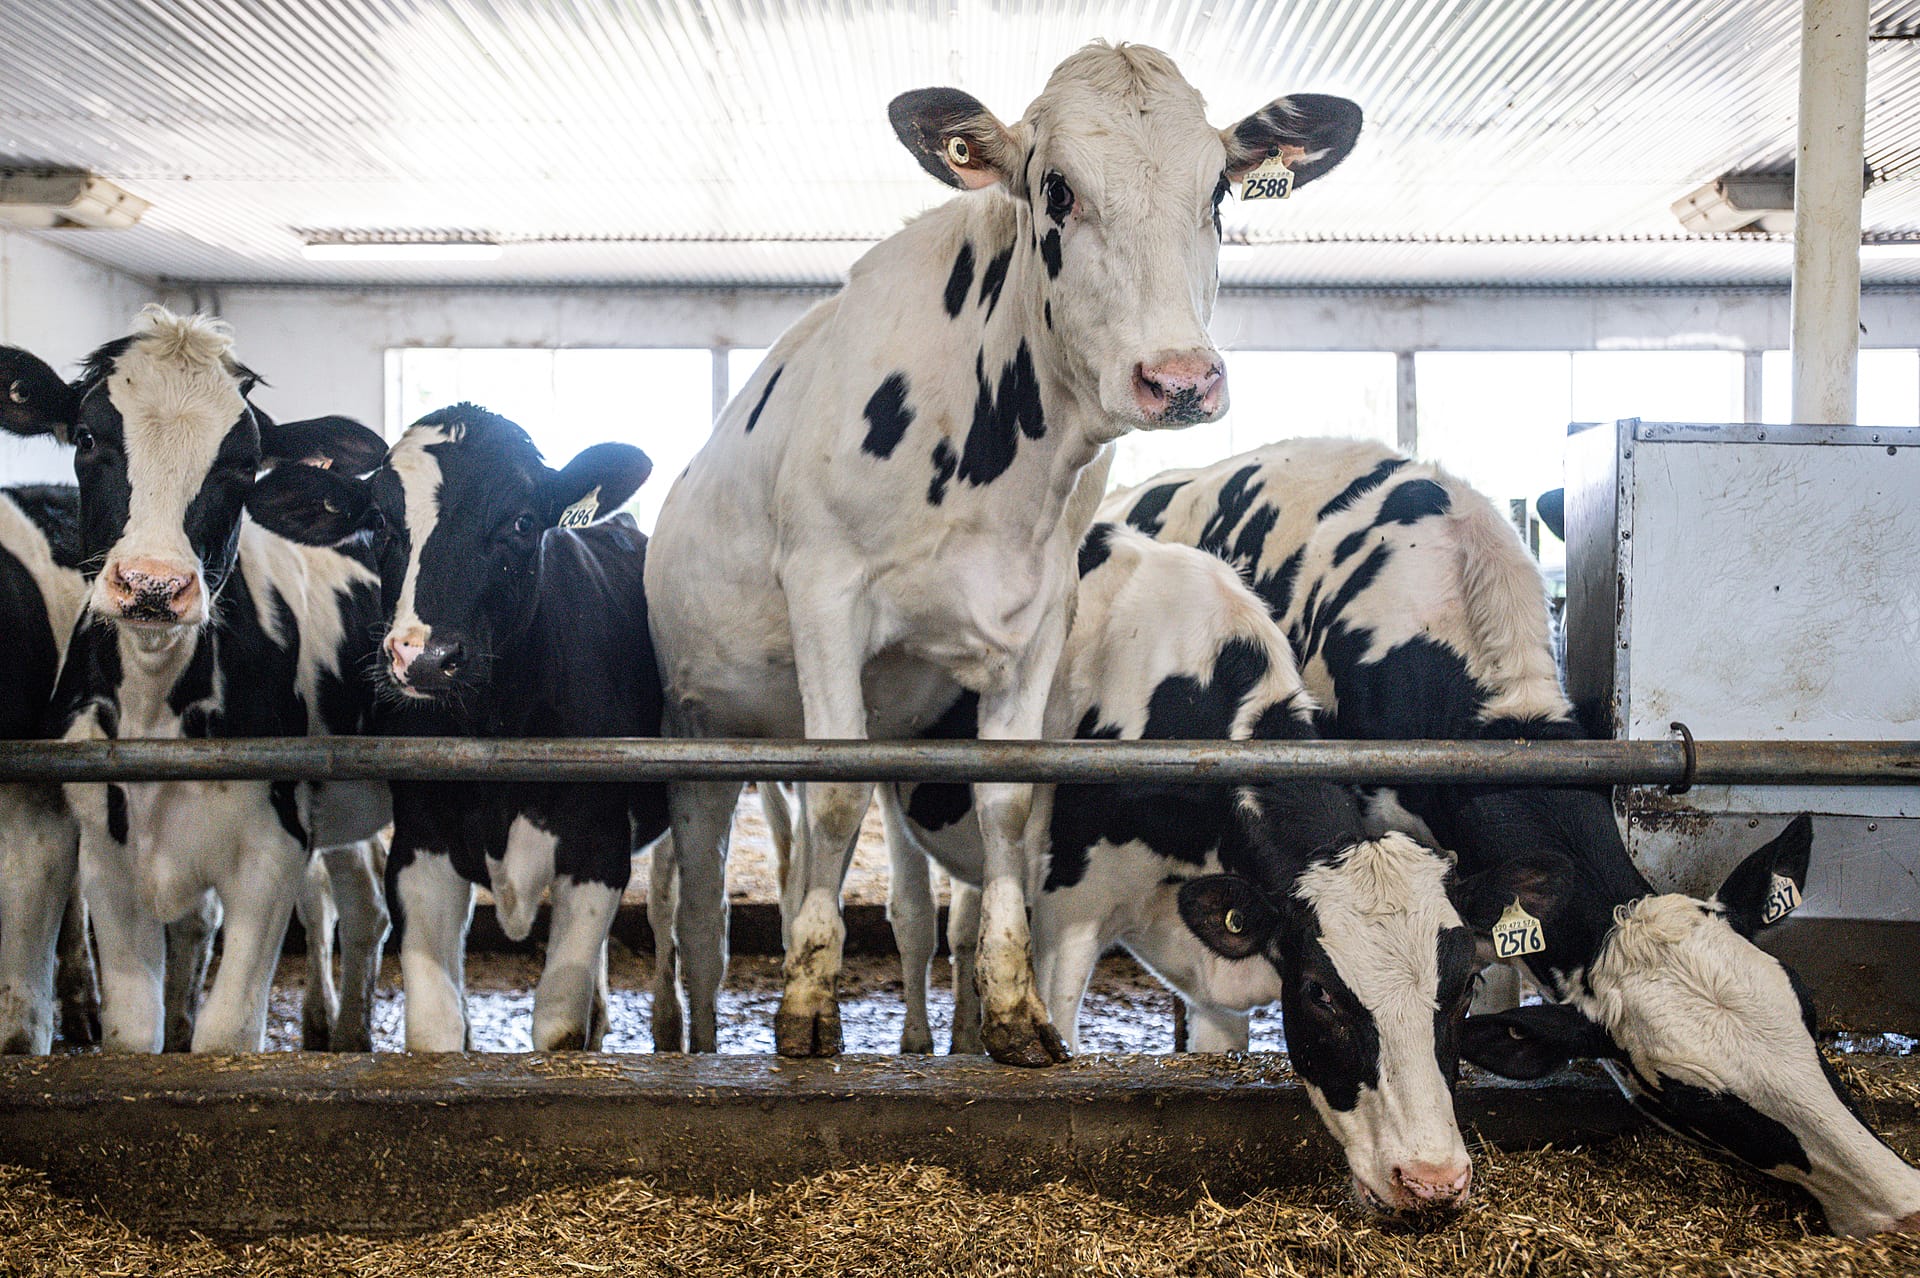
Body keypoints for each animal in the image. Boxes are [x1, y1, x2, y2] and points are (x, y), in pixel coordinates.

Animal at [0, 307, 391, 1043]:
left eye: (241, 463)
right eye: (88, 436)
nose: (153, 584)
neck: (158, 705)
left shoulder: (273, 849)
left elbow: (228, 1031)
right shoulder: (107, 856)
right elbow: (133, 1030)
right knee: (357, 904)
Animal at [243, 402, 664, 1051]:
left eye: (522, 521)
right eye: (381, 523)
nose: (422, 655)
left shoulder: (597, 846)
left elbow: (558, 1024)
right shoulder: (423, 845)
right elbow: (434, 1028)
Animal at [645, 39, 1367, 1059]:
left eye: (1219, 191)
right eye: (1057, 189)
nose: (1179, 378)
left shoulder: (1038, 622)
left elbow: (1009, 801)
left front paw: (1015, 1010)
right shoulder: (826, 594)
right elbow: (835, 798)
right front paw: (808, 1006)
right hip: (697, 730)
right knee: (701, 908)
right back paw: (704, 1034)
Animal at [756, 521, 1474, 1212]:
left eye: (1464, 989)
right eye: (1321, 992)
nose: (1432, 1180)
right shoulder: (1068, 916)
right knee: (898, 907)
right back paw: (900, 1037)